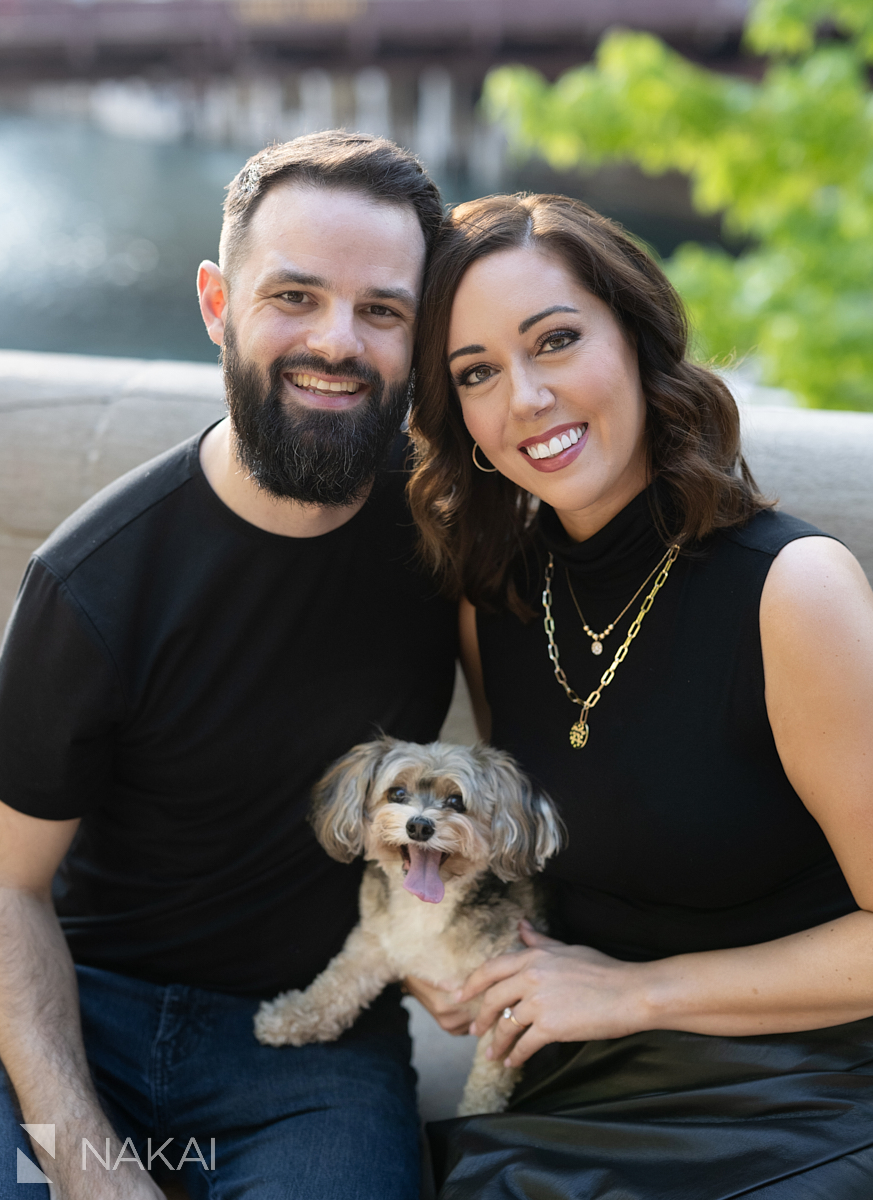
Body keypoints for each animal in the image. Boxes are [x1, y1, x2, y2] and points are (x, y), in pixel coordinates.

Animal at [255, 734, 563, 1118]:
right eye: (397, 793)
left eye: (456, 801)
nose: (419, 826)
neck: (427, 910)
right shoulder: (372, 946)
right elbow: (332, 989)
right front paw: (286, 1019)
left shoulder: (503, 999)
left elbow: (489, 1078)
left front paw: (476, 1114)